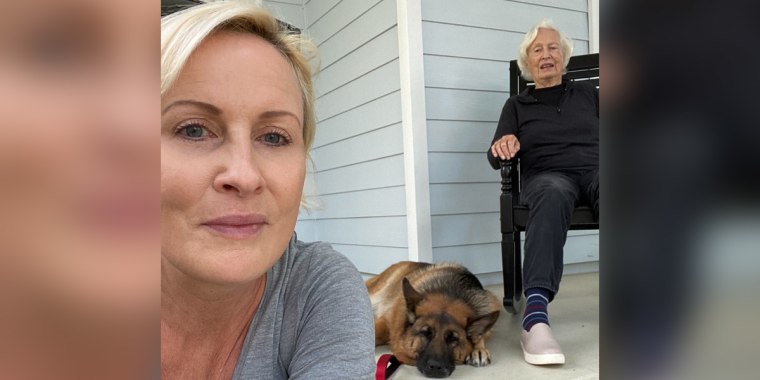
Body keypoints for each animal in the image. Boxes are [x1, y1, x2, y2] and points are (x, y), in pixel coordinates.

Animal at [366, 262, 502, 378]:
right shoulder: (386, 323)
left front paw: (478, 349)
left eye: (453, 339)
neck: (449, 293)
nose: (436, 367)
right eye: (425, 333)